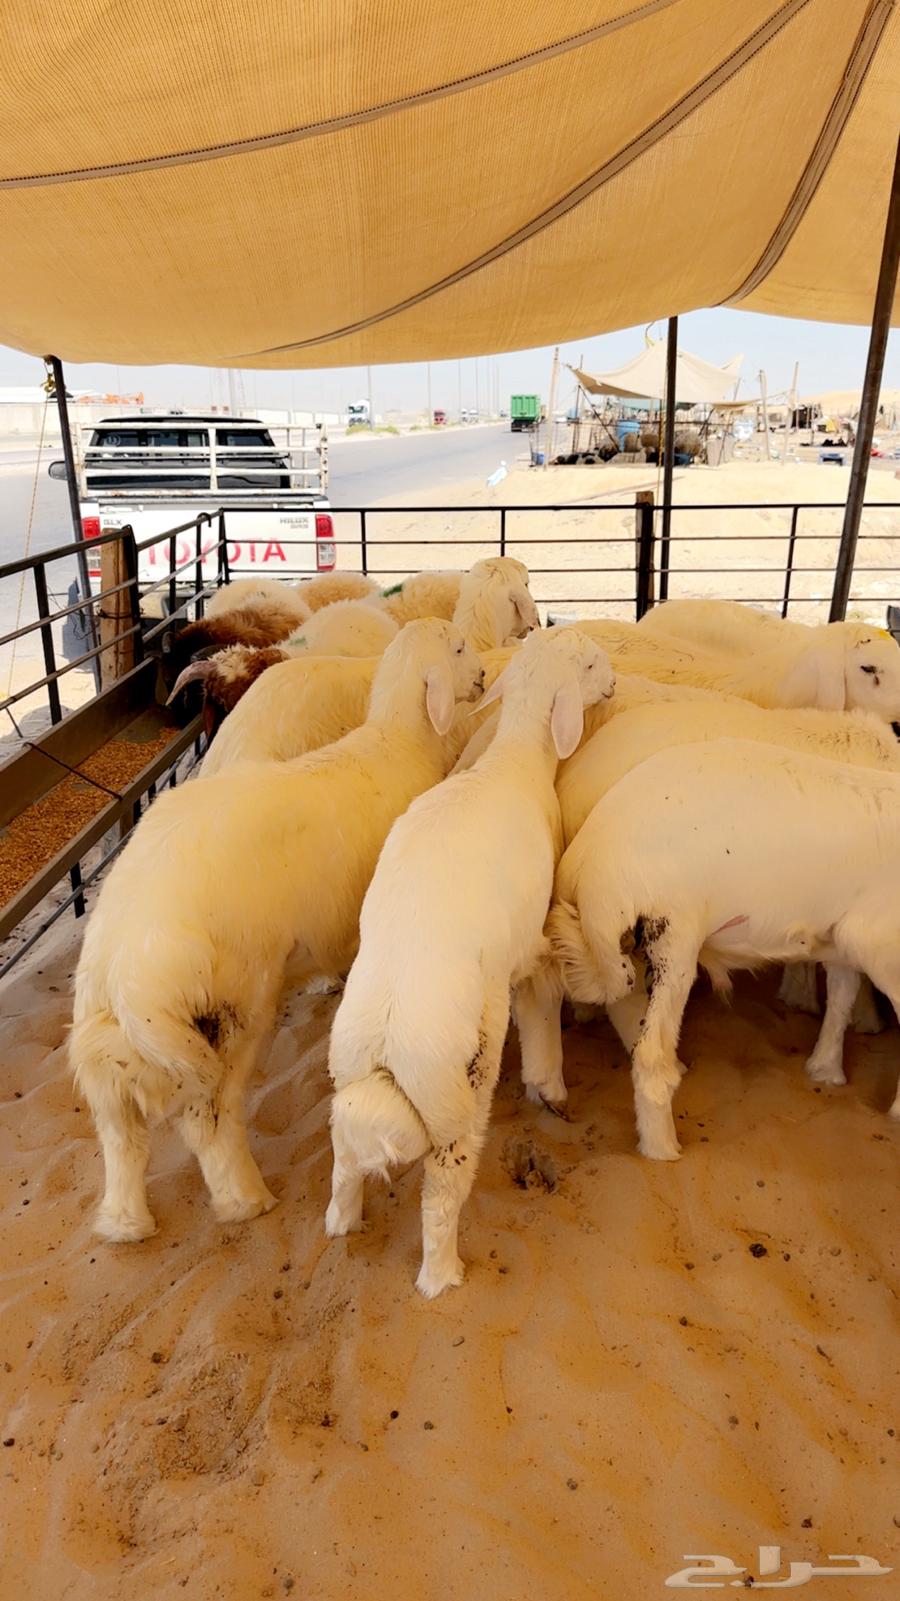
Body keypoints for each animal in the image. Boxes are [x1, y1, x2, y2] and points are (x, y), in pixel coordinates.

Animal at [70, 620, 484, 1243]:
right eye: (458, 650)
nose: (482, 676)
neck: (395, 739)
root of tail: (125, 967)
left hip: (105, 1047)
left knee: (120, 1133)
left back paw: (126, 1224)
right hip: (233, 1006)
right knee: (209, 1120)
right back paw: (245, 1199)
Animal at [325, 627, 615, 1297]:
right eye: (590, 664)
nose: (615, 680)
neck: (515, 759)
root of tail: (387, 1040)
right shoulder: (526, 949)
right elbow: (541, 1007)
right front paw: (549, 1084)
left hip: (345, 1082)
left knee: (344, 1165)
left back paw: (343, 1223)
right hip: (456, 1097)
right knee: (441, 1194)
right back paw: (443, 1275)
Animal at [549, 739, 900, 1161]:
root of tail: (585, 864)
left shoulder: (840, 938)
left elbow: (841, 996)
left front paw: (825, 1070)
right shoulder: (879, 940)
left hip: (629, 944)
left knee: (626, 1009)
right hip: (674, 933)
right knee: (651, 1052)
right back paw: (662, 1148)